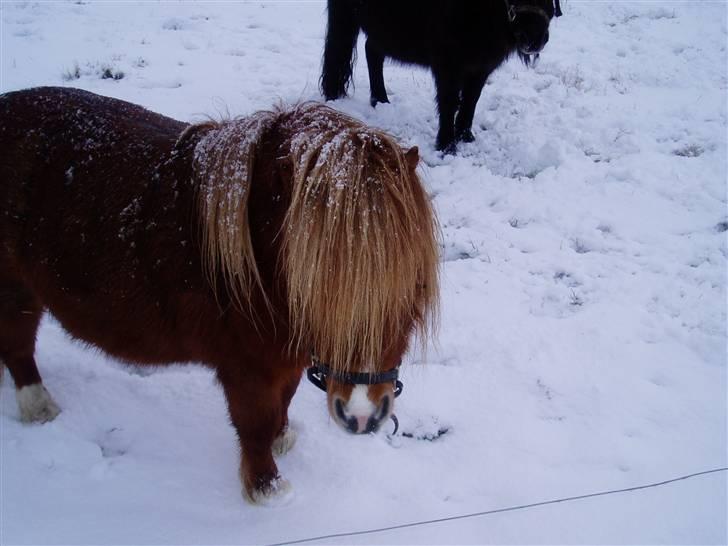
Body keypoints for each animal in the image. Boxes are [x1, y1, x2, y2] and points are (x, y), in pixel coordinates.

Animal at [0, 87, 439, 504]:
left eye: (413, 281)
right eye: (315, 284)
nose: (363, 416)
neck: (258, 260)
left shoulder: (286, 361)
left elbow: (284, 401)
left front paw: (283, 439)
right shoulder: (245, 367)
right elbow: (255, 424)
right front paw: (267, 488)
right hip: (15, 290)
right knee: (18, 345)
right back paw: (38, 407)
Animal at [321, 0, 562, 153]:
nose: (535, 38)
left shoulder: (481, 66)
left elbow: (470, 101)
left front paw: (465, 135)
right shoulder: (448, 65)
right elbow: (449, 102)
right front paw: (446, 145)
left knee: (373, 52)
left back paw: (380, 100)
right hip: (346, 16)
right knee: (339, 49)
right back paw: (334, 95)